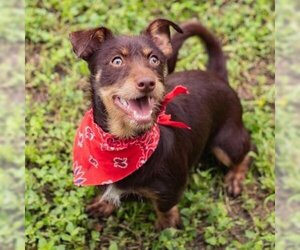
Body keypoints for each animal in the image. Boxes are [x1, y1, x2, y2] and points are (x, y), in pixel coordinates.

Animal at [69, 19, 252, 230]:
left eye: (154, 60)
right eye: (117, 61)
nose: (148, 83)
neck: (121, 143)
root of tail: (217, 76)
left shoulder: (171, 190)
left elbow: (164, 208)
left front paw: (167, 224)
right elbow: (107, 192)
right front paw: (104, 204)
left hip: (227, 143)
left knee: (246, 152)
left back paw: (235, 178)